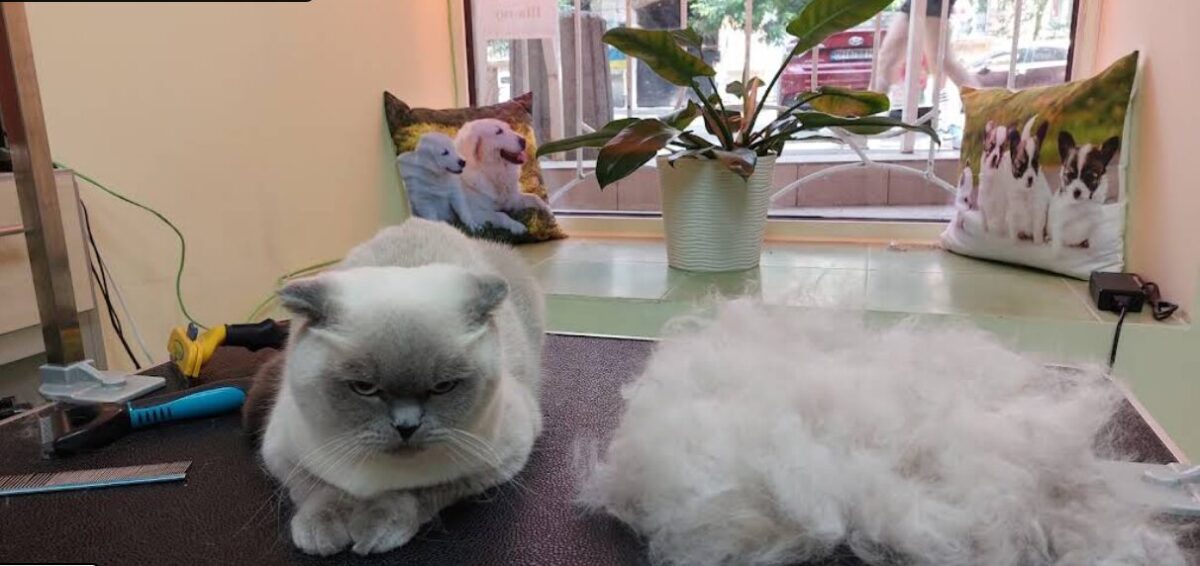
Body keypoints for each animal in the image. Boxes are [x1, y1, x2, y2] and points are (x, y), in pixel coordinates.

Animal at [244, 218, 544, 556]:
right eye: (364, 387)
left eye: (443, 387)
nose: (406, 427)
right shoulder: (281, 454)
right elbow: (320, 489)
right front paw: (321, 532)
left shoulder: (500, 459)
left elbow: (417, 492)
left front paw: (375, 529)